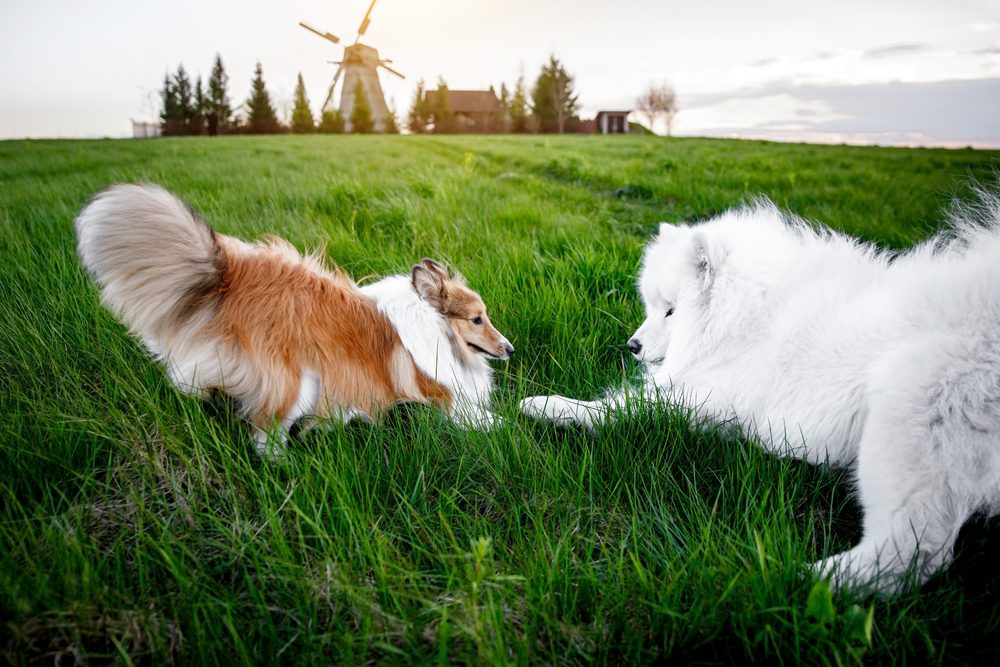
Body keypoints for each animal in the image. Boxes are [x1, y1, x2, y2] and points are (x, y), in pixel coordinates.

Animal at [76, 183, 516, 456]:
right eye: (477, 319)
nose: (510, 349)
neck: (434, 326)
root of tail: (229, 275)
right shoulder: (453, 405)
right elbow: (502, 420)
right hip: (299, 382)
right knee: (264, 439)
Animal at [524, 196, 1000, 592]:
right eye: (651, 306)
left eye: (671, 311)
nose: (632, 346)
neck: (748, 316)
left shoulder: (705, 396)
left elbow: (620, 409)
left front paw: (551, 406)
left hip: (905, 423)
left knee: (913, 550)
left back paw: (788, 580)